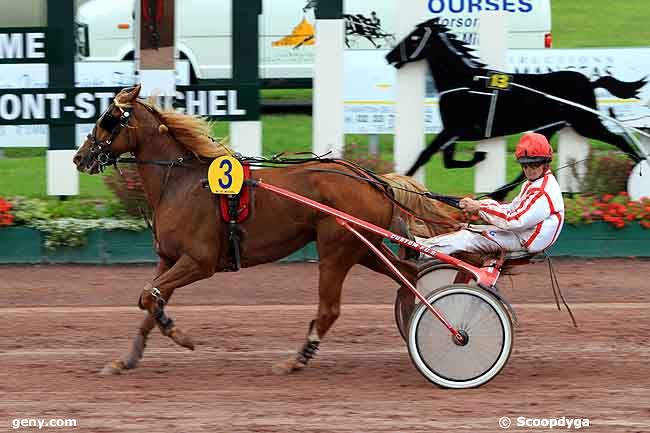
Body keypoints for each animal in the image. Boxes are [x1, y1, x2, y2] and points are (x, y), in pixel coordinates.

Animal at [72, 84, 456, 374]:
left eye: (108, 120)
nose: (80, 157)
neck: (180, 182)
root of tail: (372, 180)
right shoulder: (169, 259)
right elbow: (149, 300)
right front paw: (125, 360)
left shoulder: (199, 261)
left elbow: (148, 297)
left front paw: (179, 334)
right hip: (363, 247)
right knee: (408, 273)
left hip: (337, 250)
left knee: (330, 309)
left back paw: (296, 360)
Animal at [384, 18, 644, 197]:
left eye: (414, 38)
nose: (389, 56)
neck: (465, 81)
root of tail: (589, 81)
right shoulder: (453, 131)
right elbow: (446, 158)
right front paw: (479, 156)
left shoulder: (456, 128)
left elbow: (426, 155)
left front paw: (398, 181)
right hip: (548, 127)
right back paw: (500, 191)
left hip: (585, 122)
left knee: (620, 140)